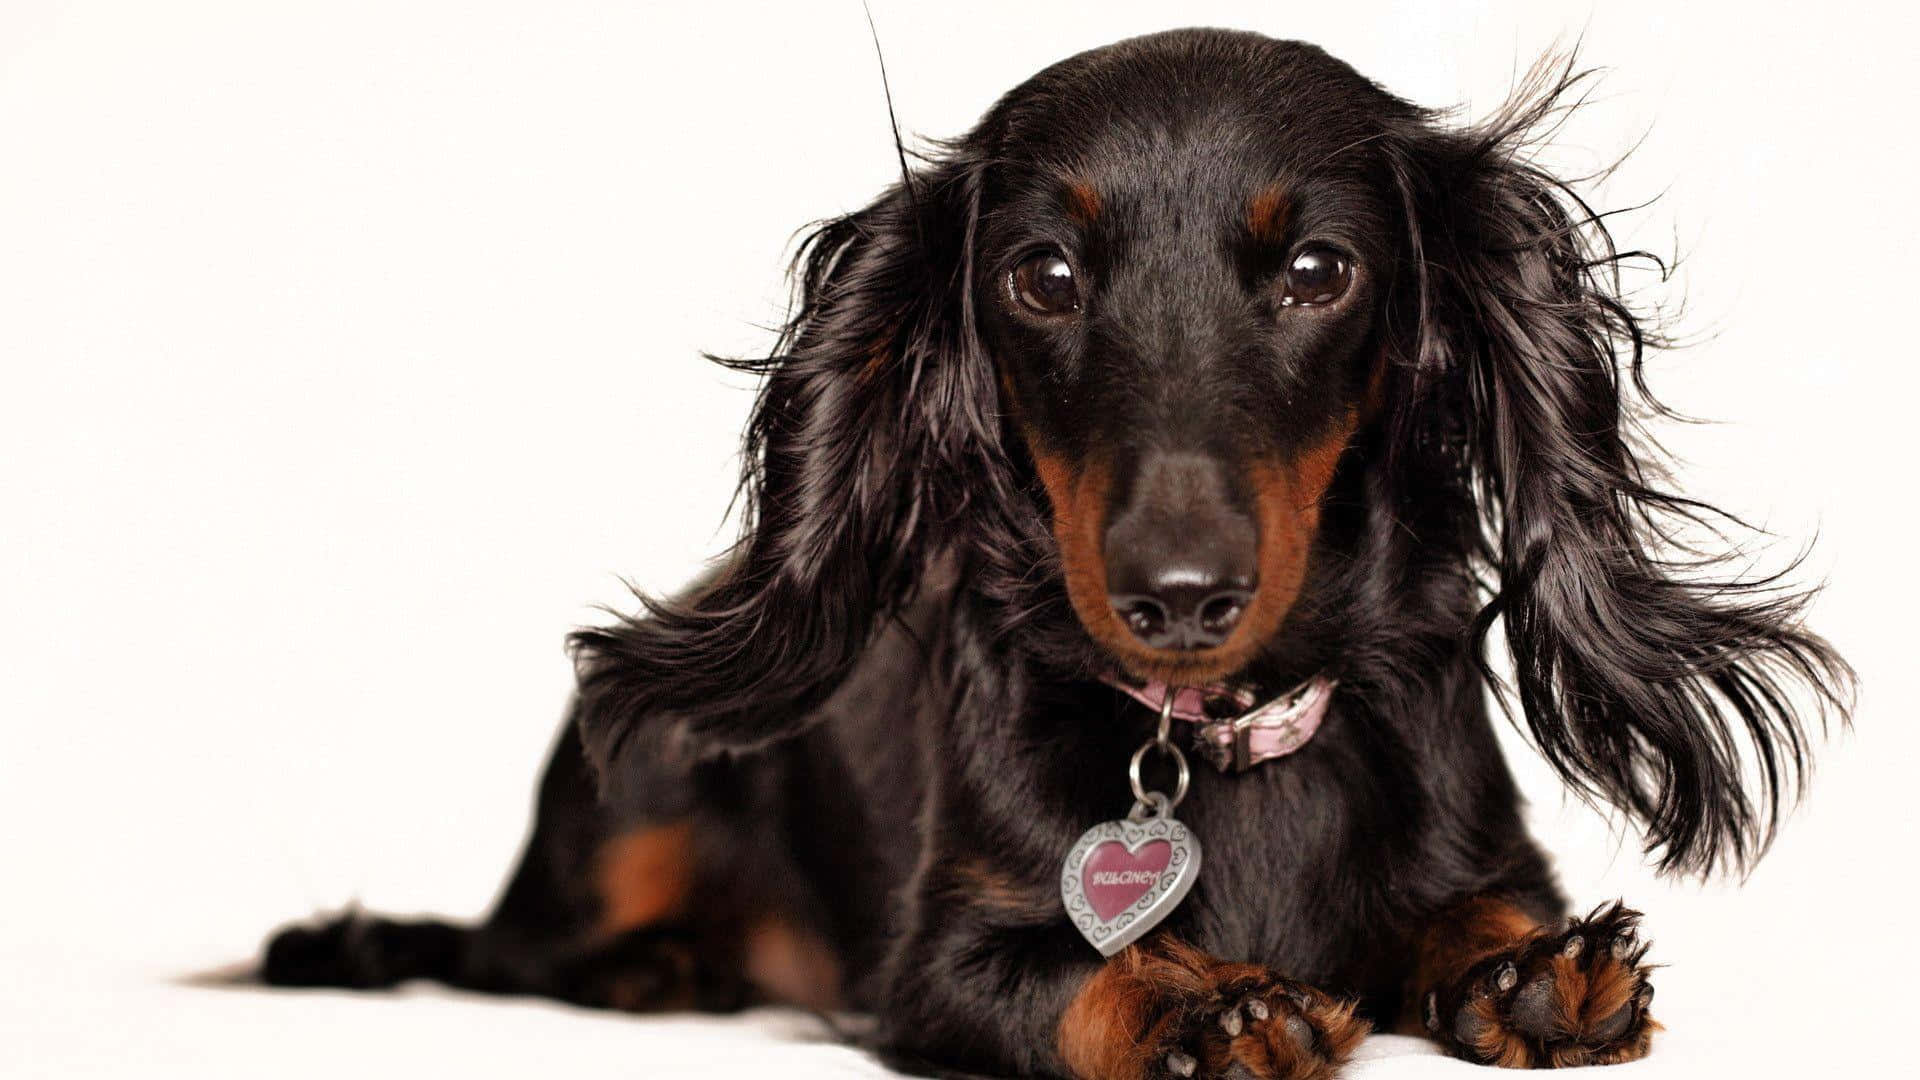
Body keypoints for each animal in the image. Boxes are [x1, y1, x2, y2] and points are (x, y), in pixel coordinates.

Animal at [263, 29, 1850, 1068]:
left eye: (1319, 271)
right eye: (1044, 274)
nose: (1177, 598)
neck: (1218, 743)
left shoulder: (1489, 846)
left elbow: (1483, 914)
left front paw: (1523, 971)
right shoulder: (938, 964)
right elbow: (1070, 977)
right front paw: (1199, 1002)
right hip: (627, 810)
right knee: (518, 951)